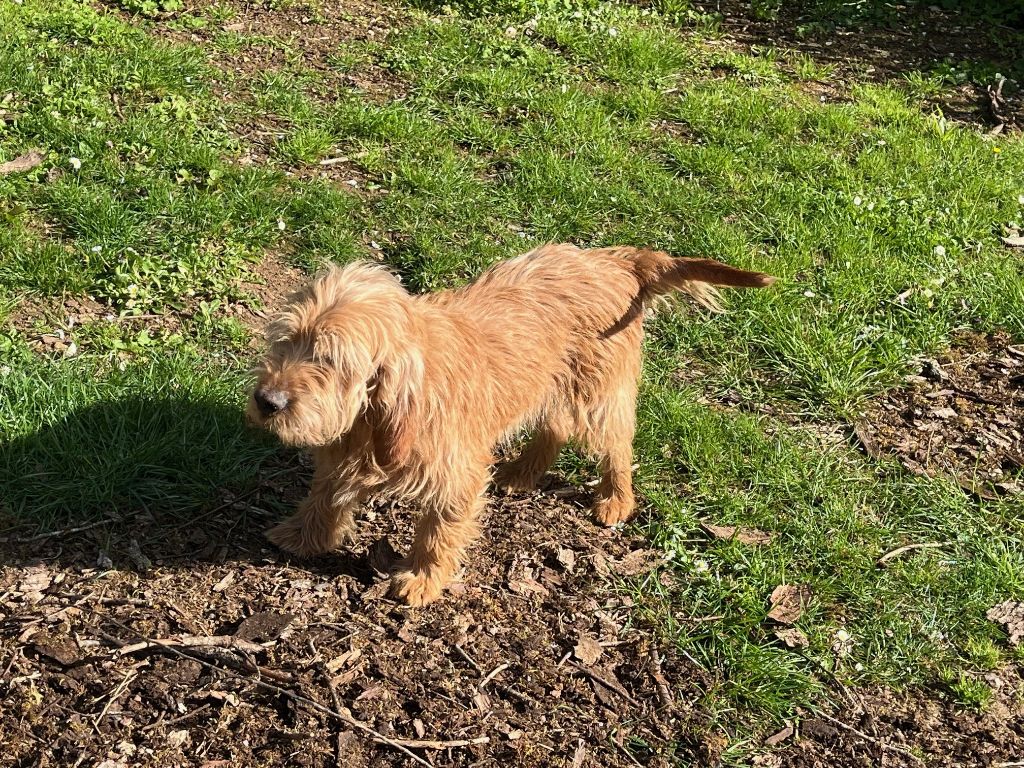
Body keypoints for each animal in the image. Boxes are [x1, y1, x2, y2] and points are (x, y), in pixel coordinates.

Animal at [249, 243, 774, 606]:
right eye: (286, 341)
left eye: (329, 360)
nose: (266, 401)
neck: (381, 411)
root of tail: (613, 262)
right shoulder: (343, 453)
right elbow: (323, 497)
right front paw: (302, 536)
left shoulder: (456, 475)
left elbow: (438, 532)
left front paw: (423, 578)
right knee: (554, 428)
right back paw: (523, 474)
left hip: (599, 397)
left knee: (617, 446)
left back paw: (615, 498)